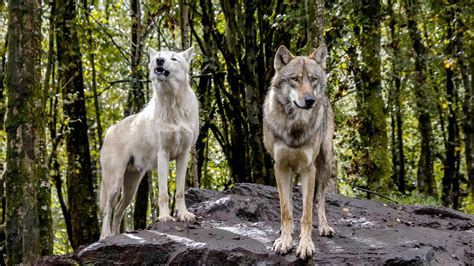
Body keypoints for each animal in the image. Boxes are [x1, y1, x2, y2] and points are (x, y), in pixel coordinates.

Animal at [99, 46, 198, 238]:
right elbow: (164, 194)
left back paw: (116, 236)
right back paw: (106, 236)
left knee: (118, 211)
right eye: (158, 57)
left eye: (173, 58)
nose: (159, 60)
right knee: (107, 209)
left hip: (131, 189)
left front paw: (183, 215)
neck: (172, 105)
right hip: (115, 184)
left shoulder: (184, 154)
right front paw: (166, 217)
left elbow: (180, 191)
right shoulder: (163, 154)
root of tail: (109, 130)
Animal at [262, 44, 336, 258]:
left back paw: (324, 227)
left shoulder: (308, 169)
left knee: (320, 199)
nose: (310, 100)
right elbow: (286, 210)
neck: (295, 125)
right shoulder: (280, 166)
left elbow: (307, 213)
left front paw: (305, 245)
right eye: (295, 79)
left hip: (325, 163)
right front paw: (285, 240)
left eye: (313, 79)